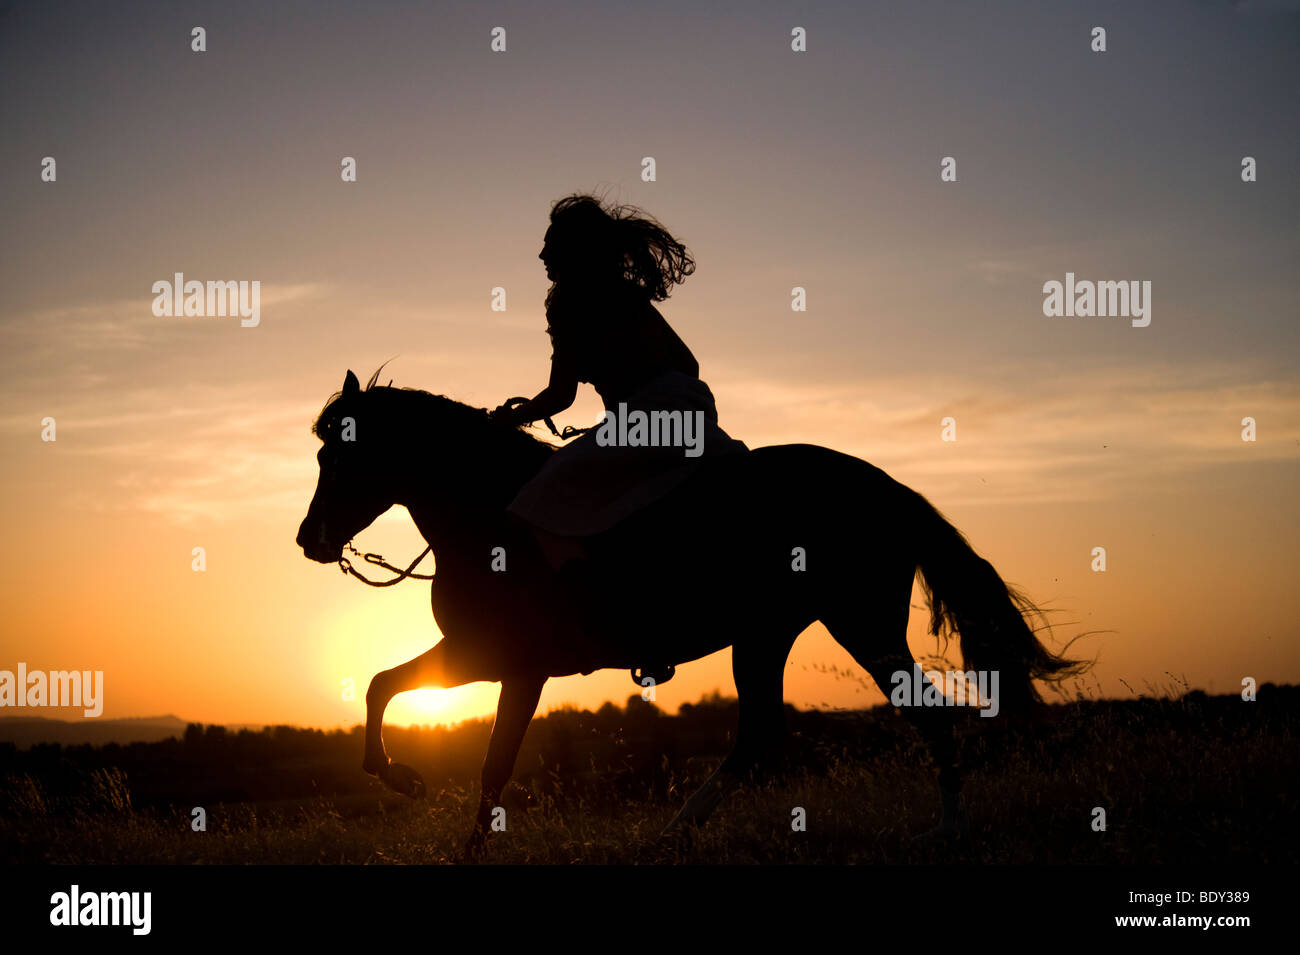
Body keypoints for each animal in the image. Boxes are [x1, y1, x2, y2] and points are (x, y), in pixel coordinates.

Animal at [299, 369, 1081, 857]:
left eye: (340, 457)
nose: (311, 540)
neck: (488, 512)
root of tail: (885, 486)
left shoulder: (504, 660)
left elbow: (472, 747)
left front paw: (408, 783)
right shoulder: (490, 659)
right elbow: (396, 696)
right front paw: (421, 797)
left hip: (857, 623)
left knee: (924, 714)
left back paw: (947, 833)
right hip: (768, 635)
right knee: (760, 738)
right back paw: (671, 834)